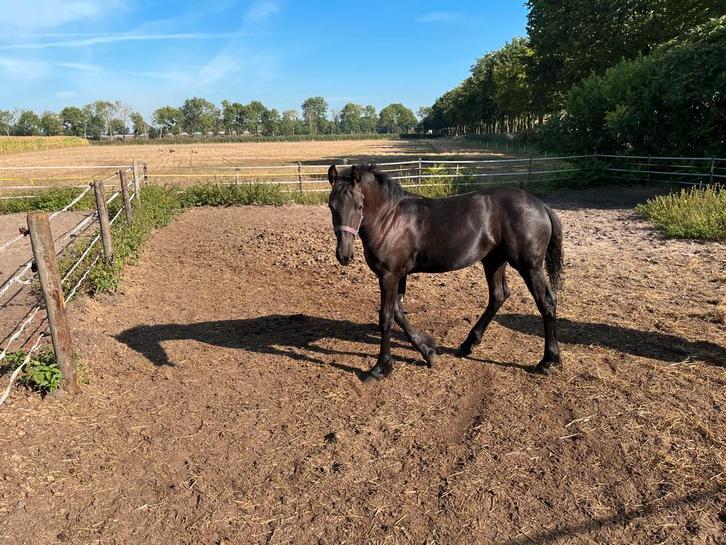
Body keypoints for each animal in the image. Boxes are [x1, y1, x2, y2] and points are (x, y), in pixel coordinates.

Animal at [327, 163, 564, 382]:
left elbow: (386, 318)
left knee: (546, 302)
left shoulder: (389, 275)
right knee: (499, 295)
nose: (344, 255)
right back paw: (468, 345)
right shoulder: (398, 275)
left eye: (359, 206)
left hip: (529, 266)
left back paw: (547, 361)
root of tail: (541, 205)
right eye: (331, 206)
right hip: (494, 261)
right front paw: (428, 350)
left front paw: (380, 368)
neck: (390, 218)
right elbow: (398, 313)